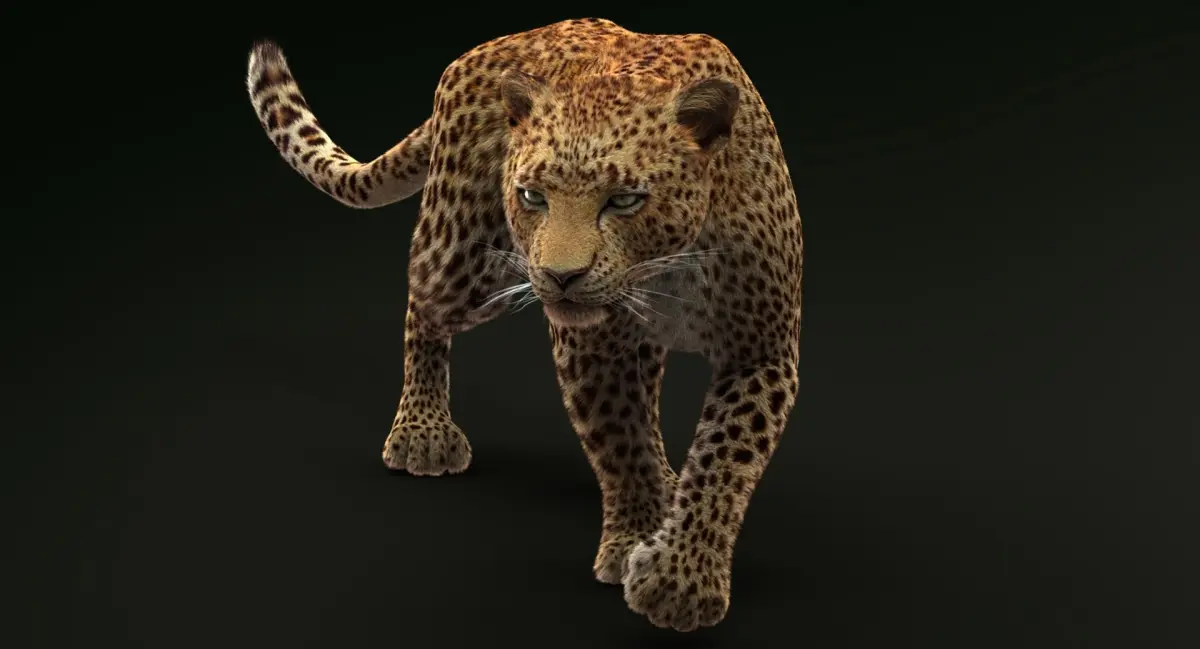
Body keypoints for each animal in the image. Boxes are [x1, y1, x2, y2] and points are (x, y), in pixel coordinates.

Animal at [245, 17, 803, 633]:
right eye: (533, 195)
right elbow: (620, 442)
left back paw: (667, 481)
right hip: (460, 255)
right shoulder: (591, 347)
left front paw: (679, 577)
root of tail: (483, 50)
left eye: (625, 200)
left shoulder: (761, 349)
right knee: (422, 304)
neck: (668, 268)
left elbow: (723, 462)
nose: (560, 277)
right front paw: (634, 540)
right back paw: (422, 431)